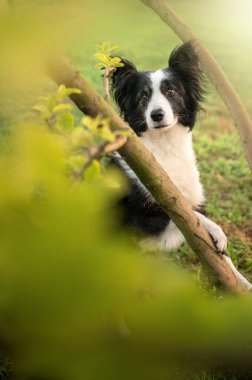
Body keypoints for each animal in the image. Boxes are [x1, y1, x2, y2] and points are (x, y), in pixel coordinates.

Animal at [110, 41, 252, 290]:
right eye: (143, 97)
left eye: (171, 92)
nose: (157, 115)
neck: (166, 145)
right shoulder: (147, 216)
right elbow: (191, 218)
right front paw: (218, 232)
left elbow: (223, 261)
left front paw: (242, 284)